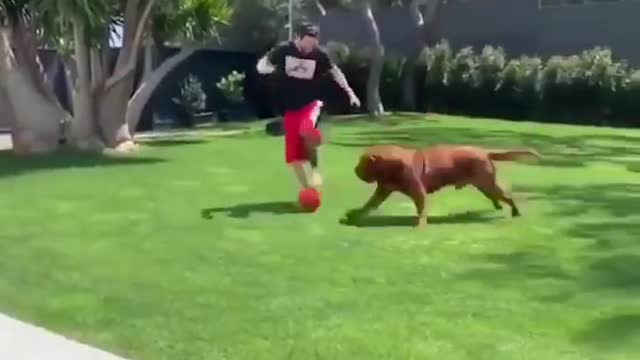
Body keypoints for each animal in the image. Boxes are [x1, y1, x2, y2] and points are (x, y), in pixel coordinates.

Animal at [344, 144, 540, 226]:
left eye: (361, 163)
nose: (354, 169)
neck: (389, 165)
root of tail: (485, 151)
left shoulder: (418, 192)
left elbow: (421, 210)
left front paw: (420, 225)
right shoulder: (383, 190)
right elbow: (368, 204)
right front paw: (353, 216)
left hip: (487, 183)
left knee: (508, 196)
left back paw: (514, 211)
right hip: (485, 185)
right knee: (498, 197)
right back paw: (499, 207)